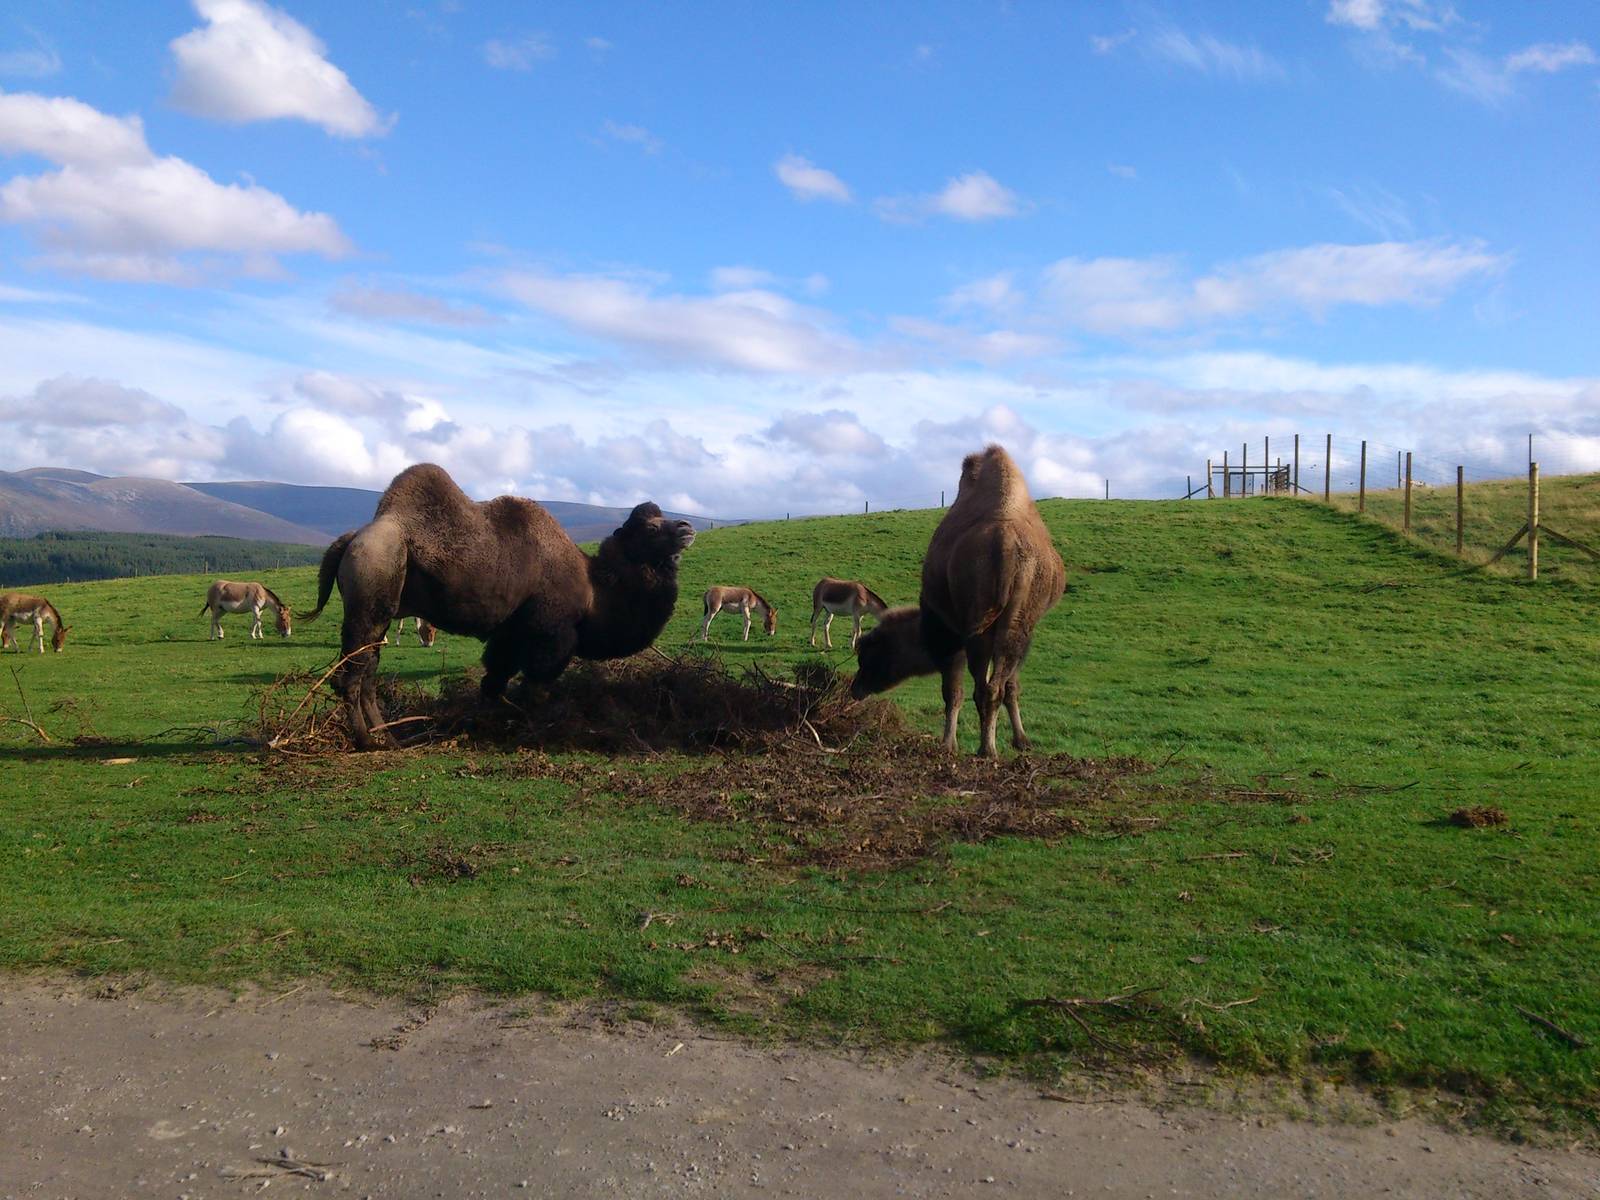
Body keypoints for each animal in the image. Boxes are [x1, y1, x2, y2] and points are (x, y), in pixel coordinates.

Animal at [303, 463, 695, 749]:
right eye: (649, 528)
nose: (686, 527)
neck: (593, 592)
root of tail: (352, 539)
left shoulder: (510, 633)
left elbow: (493, 682)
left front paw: (485, 725)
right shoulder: (551, 635)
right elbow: (536, 688)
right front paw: (537, 732)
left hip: (380, 614)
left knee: (368, 672)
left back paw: (388, 736)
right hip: (370, 600)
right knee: (350, 676)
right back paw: (367, 741)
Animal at [851, 445, 1065, 757]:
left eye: (868, 653)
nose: (855, 688)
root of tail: (1007, 546)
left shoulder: (949, 635)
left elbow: (952, 692)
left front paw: (947, 744)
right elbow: (1012, 685)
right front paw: (1022, 741)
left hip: (977, 627)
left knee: (983, 689)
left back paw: (986, 749)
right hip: (1014, 624)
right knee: (997, 686)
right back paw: (990, 748)